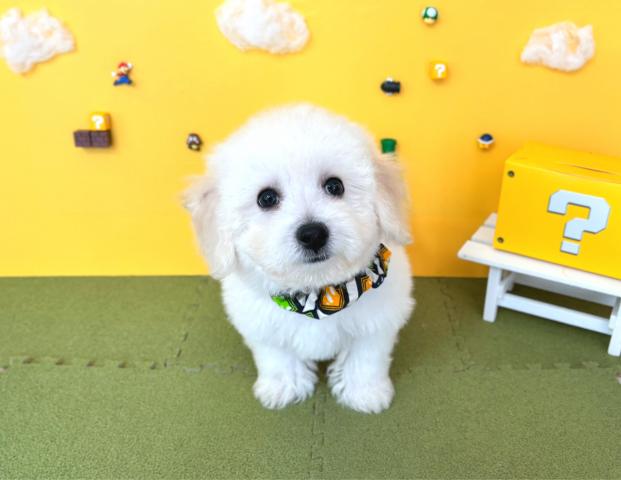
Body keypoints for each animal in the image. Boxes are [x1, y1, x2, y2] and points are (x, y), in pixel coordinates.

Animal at [185, 104, 414, 413]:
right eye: (266, 198)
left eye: (335, 186)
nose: (313, 234)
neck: (317, 291)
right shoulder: (263, 326)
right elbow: (277, 357)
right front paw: (284, 387)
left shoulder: (377, 321)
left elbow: (365, 358)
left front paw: (365, 392)